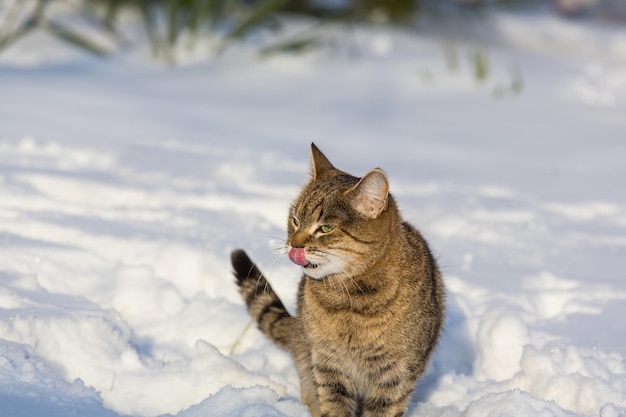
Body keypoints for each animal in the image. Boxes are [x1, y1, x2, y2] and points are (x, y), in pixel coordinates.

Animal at [230, 144, 444, 416]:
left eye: (326, 228)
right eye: (295, 220)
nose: (293, 245)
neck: (350, 299)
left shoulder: (396, 374)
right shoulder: (328, 366)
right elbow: (333, 406)